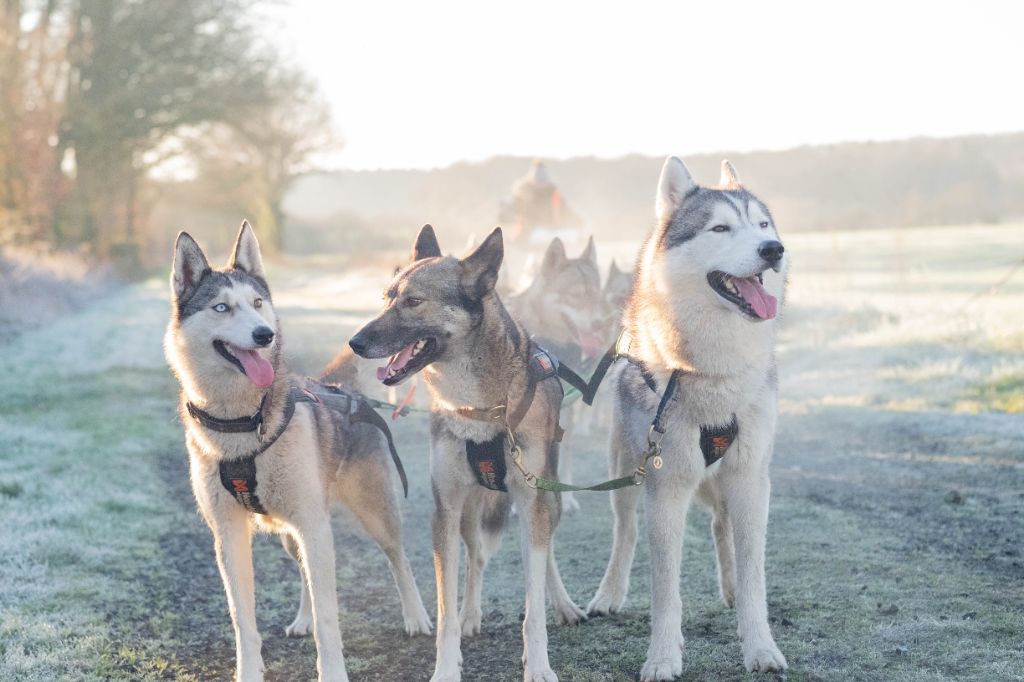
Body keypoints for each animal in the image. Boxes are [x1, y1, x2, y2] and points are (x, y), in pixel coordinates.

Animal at [162, 223, 432, 679]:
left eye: (257, 303)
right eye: (221, 307)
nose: (263, 334)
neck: (243, 421)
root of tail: (340, 389)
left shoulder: (314, 527)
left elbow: (329, 618)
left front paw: (334, 671)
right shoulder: (229, 534)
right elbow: (242, 618)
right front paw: (249, 670)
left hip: (373, 512)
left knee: (399, 558)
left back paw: (416, 616)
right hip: (292, 532)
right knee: (305, 572)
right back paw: (303, 617)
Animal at [350, 224, 585, 679]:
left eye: (413, 301)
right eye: (386, 297)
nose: (355, 342)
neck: (478, 408)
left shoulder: (532, 502)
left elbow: (533, 605)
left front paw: (538, 665)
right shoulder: (446, 510)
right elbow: (445, 609)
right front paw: (447, 665)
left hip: (548, 500)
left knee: (545, 556)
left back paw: (564, 605)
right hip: (471, 511)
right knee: (476, 558)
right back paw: (471, 615)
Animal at [585, 157, 790, 675]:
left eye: (762, 225)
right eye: (720, 228)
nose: (773, 249)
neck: (711, 373)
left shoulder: (751, 479)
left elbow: (754, 573)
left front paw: (760, 647)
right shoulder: (665, 487)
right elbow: (665, 590)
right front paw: (662, 657)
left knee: (721, 527)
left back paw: (731, 590)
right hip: (625, 474)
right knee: (624, 533)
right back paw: (608, 595)